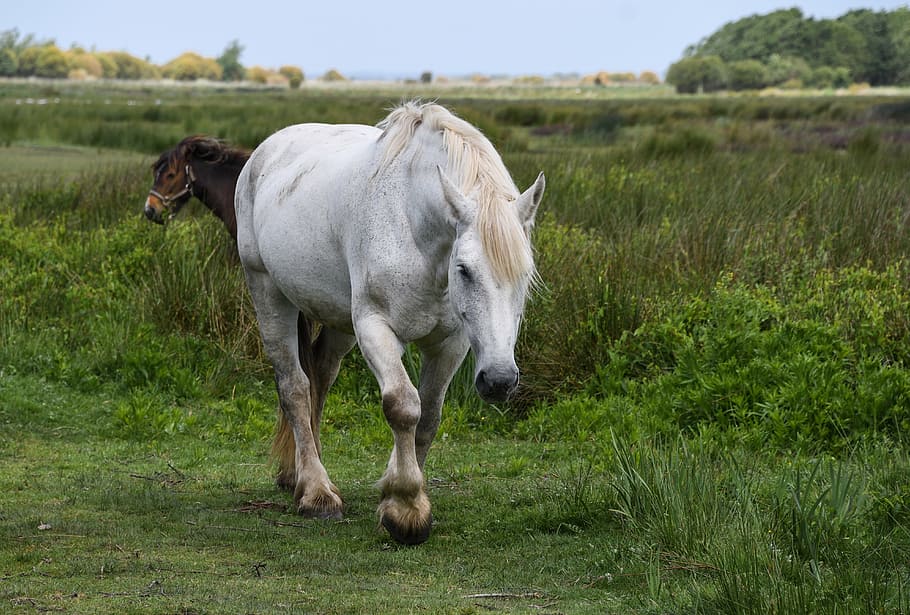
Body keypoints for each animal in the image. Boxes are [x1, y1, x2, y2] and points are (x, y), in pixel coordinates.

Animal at [235, 101, 544, 544]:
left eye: (525, 274)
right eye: (464, 270)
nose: (499, 380)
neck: (413, 226)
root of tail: (265, 151)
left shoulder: (450, 343)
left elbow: (428, 417)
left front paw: (400, 494)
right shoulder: (376, 329)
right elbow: (402, 405)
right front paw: (406, 508)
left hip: (338, 320)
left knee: (321, 378)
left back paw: (298, 473)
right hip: (268, 293)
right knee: (294, 387)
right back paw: (316, 492)